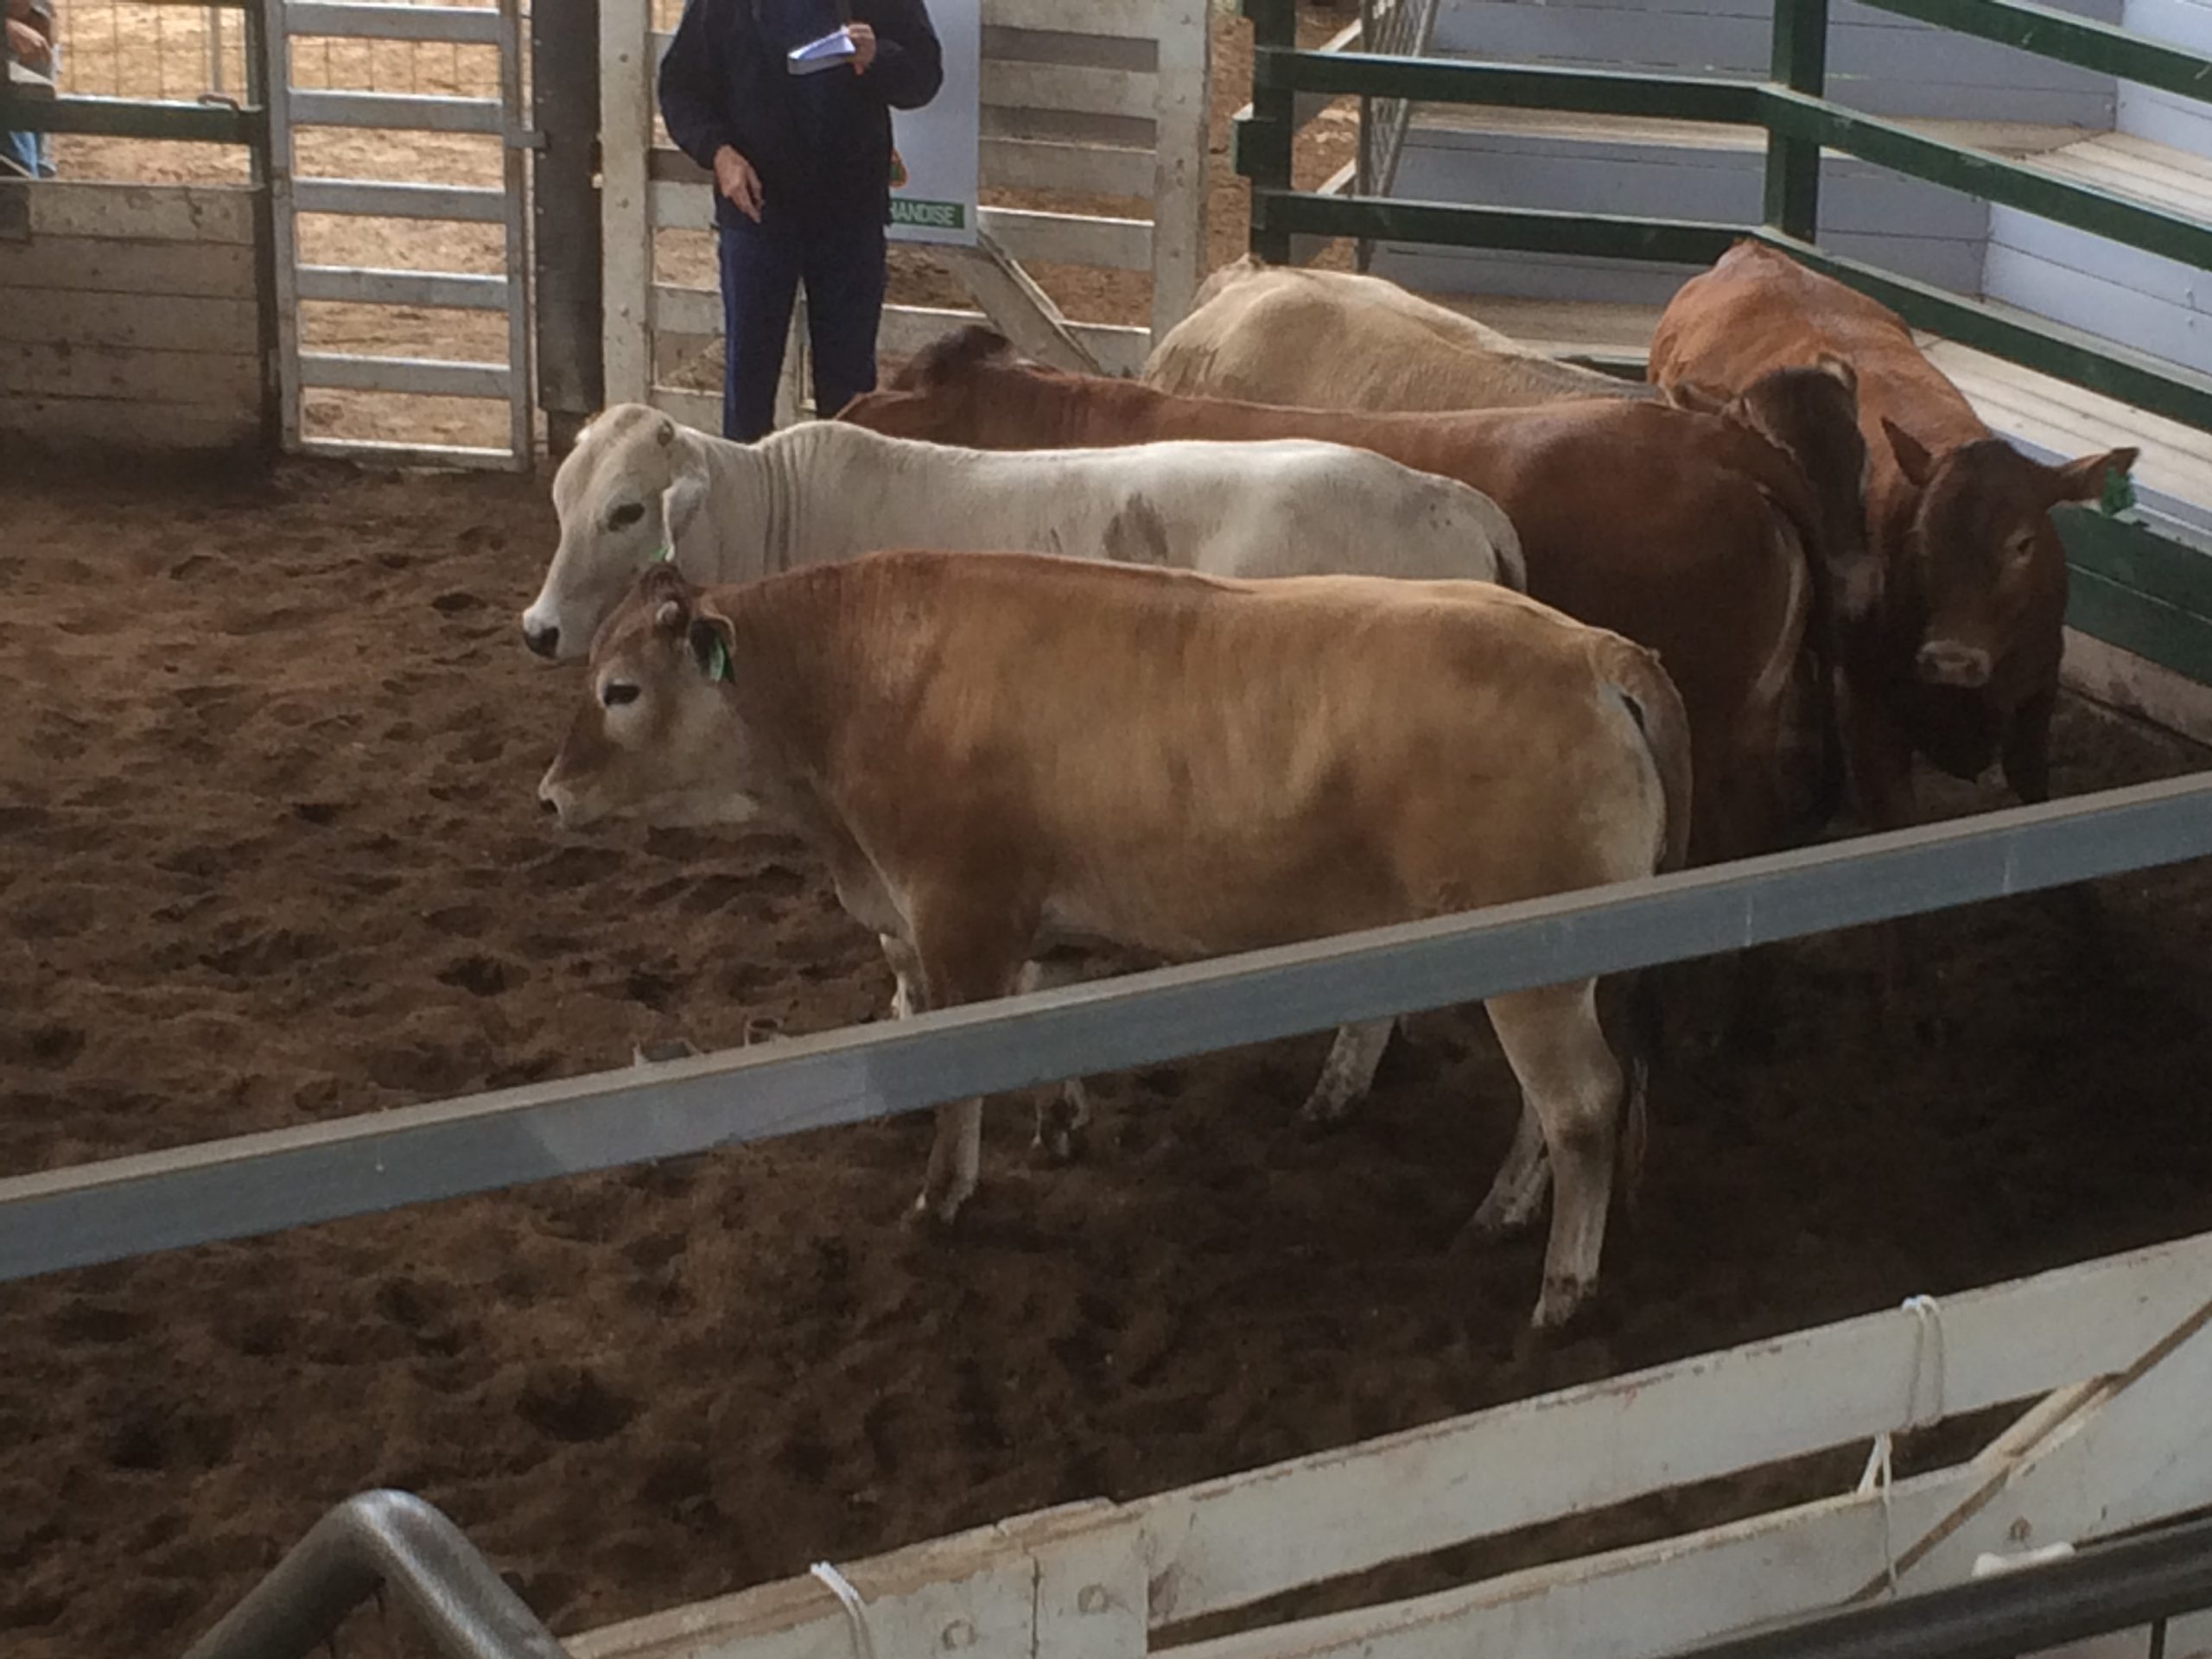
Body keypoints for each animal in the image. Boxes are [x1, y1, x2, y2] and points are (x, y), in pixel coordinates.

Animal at [538, 552, 1693, 1329]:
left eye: (619, 690)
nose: (549, 795)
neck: (866, 680)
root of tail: (1594, 649)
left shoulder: (960, 917)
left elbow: (965, 1074)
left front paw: (941, 1196)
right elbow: (1046, 1023)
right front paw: (1060, 1125)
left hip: (1536, 971)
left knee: (1579, 1106)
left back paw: (1561, 1288)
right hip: (1545, 964)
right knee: (1548, 1110)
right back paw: (1497, 1217)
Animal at [1648, 240, 2137, 835]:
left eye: (2023, 544)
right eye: (1922, 539)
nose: (1952, 658)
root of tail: (1756, 252)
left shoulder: (2035, 702)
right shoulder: (1874, 717)